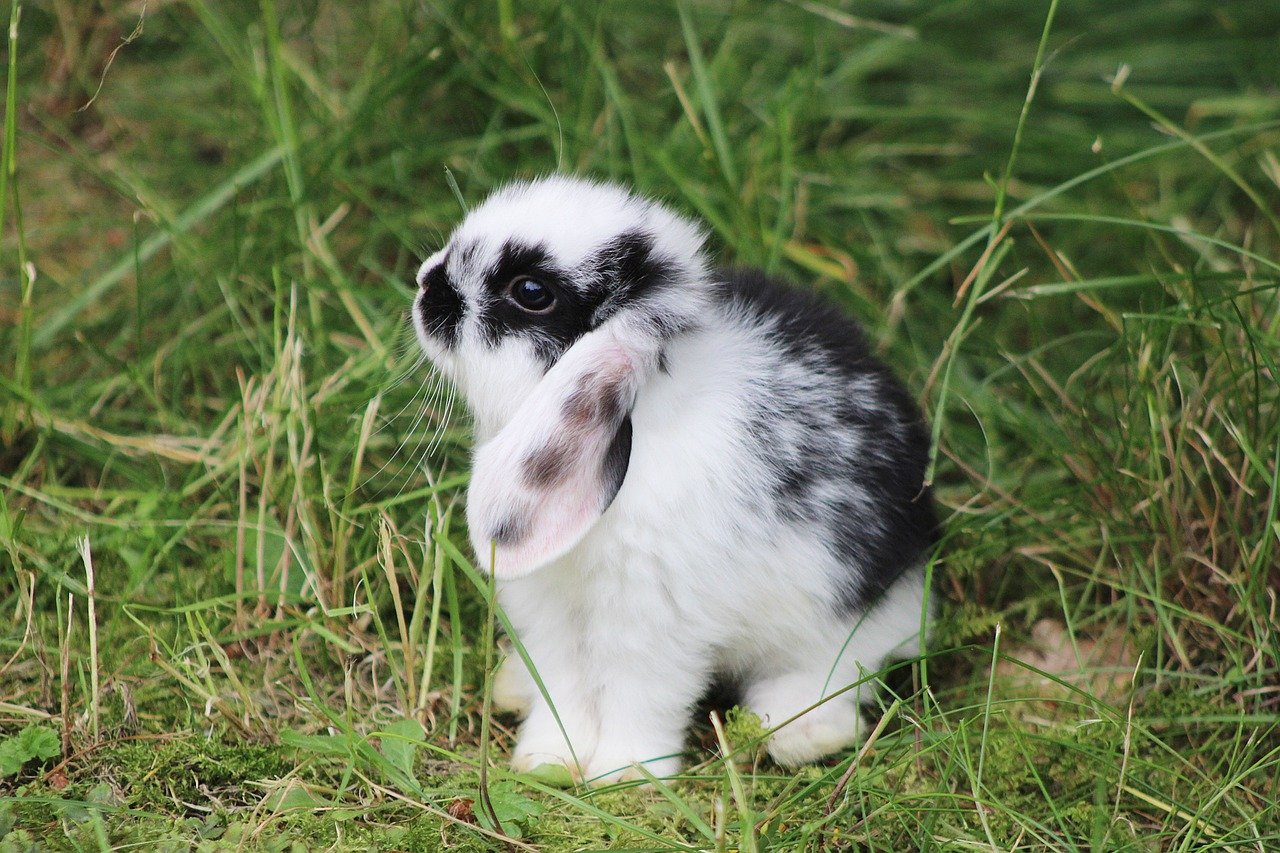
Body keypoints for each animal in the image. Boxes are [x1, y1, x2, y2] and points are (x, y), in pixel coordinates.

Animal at [410, 175, 938, 785]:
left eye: (532, 292)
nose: (425, 282)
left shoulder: (655, 624)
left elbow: (640, 698)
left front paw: (627, 775)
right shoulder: (552, 618)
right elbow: (563, 691)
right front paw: (547, 762)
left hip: (843, 616)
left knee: (838, 674)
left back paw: (800, 734)